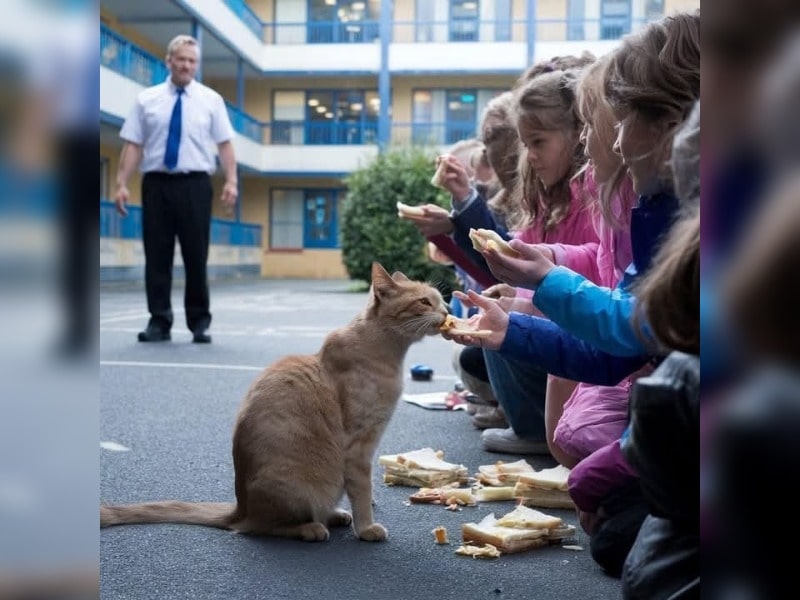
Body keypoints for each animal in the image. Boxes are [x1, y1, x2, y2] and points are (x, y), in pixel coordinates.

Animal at [101, 264, 450, 540]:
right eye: (425, 301)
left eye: (442, 300)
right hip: (298, 491)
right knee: (256, 527)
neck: (389, 354)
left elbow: (362, 490)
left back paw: (334, 515)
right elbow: (363, 491)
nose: (448, 312)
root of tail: (240, 506)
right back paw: (311, 528)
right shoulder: (358, 447)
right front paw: (367, 529)